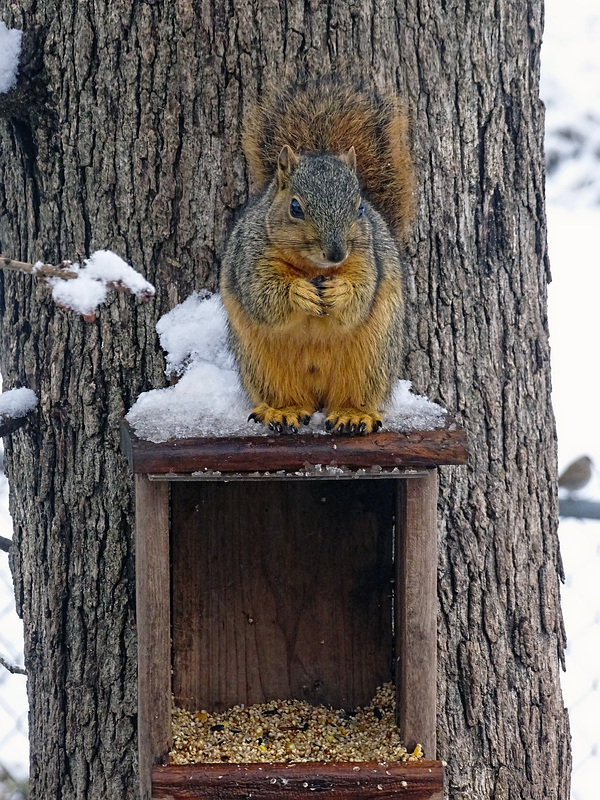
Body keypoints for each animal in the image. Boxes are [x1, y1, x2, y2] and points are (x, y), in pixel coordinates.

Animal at [219, 78, 412, 434]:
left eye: (359, 208)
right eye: (295, 208)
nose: (336, 253)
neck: (313, 268)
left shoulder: (369, 261)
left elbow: (359, 294)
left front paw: (338, 292)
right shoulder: (249, 259)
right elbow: (263, 295)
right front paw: (300, 292)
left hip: (372, 357)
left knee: (355, 394)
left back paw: (353, 415)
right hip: (262, 364)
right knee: (287, 394)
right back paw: (284, 411)